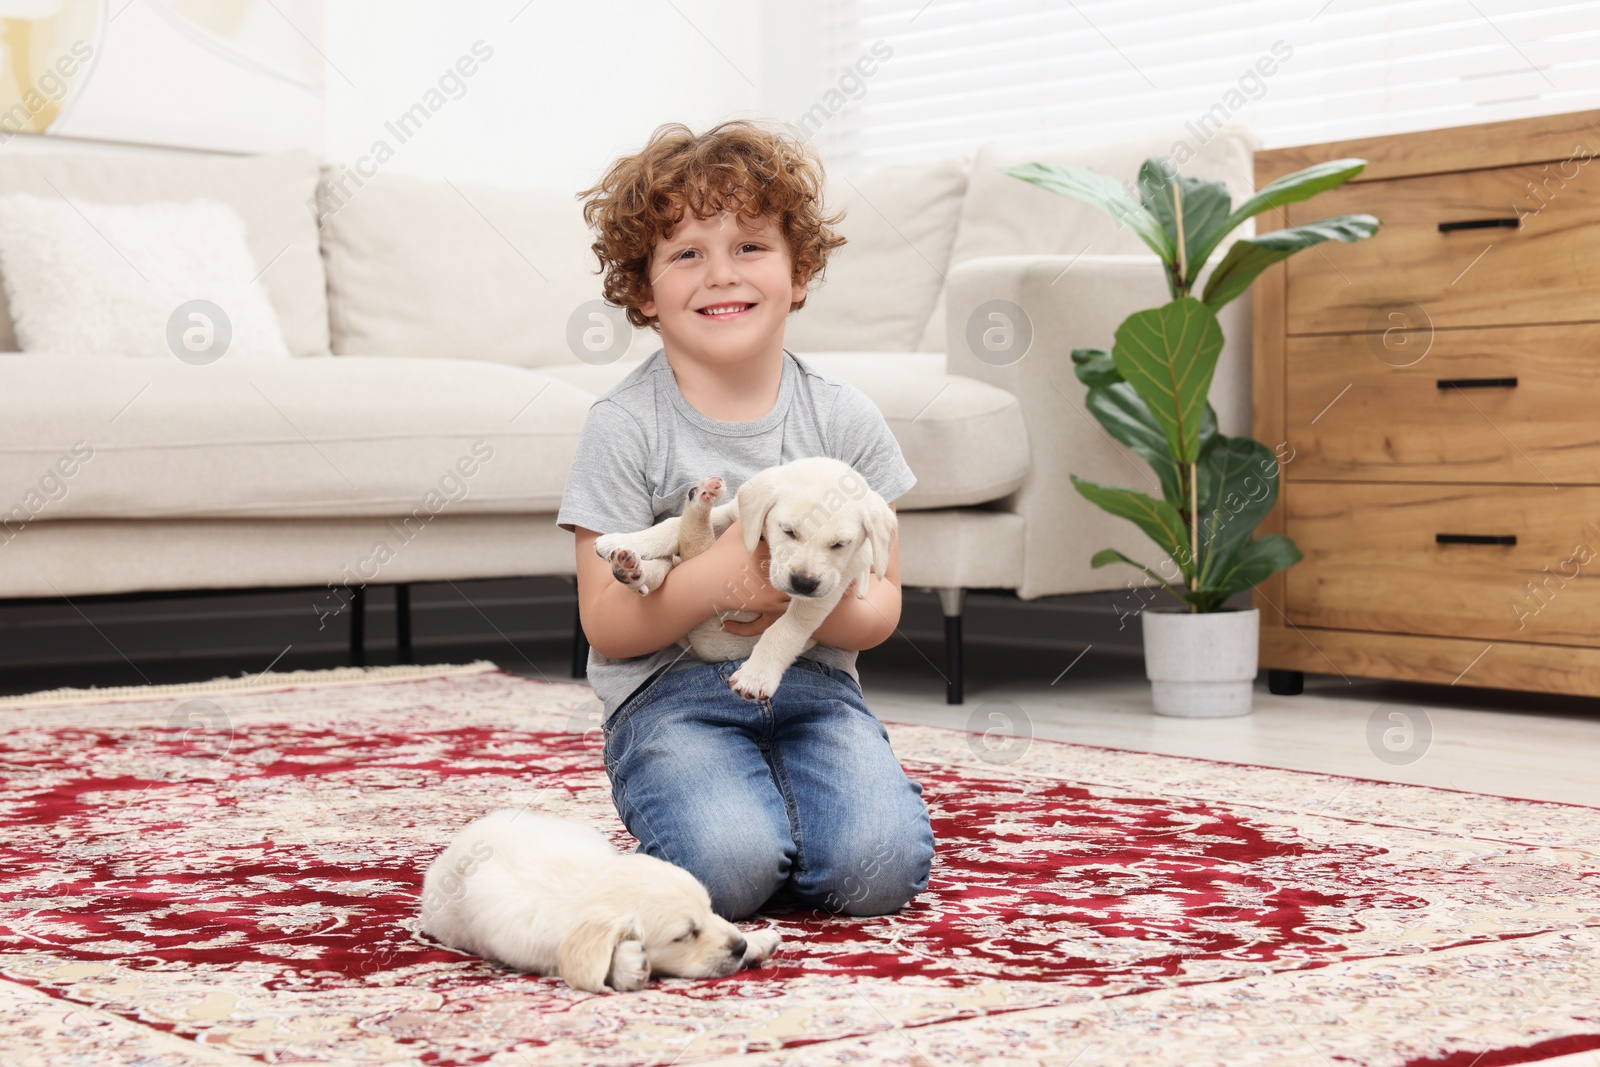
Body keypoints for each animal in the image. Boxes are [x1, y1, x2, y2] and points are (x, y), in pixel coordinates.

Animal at [419, 809, 780, 991]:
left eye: (710, 910)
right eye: (684, 935)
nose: (739, 948)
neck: (583, 889)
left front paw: (758, 940)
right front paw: (627, 966)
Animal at [592, 457, 896, 700]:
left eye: (840, 544)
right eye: (788, 531)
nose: (803, 584)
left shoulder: (830, 589)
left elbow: (786, 629)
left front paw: (757, 676)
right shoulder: (735, 516)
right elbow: (670, 525)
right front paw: (622, 539)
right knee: (670, 563)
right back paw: (632, 565)